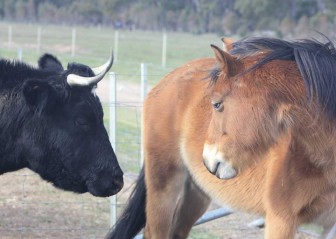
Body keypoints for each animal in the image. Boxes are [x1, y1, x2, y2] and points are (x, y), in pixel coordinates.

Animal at [107, 36, 336, 238]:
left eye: (217, 104)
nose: (208, 161)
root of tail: (170, 78)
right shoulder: (281, 220)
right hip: (163, 183)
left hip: (197, 192)